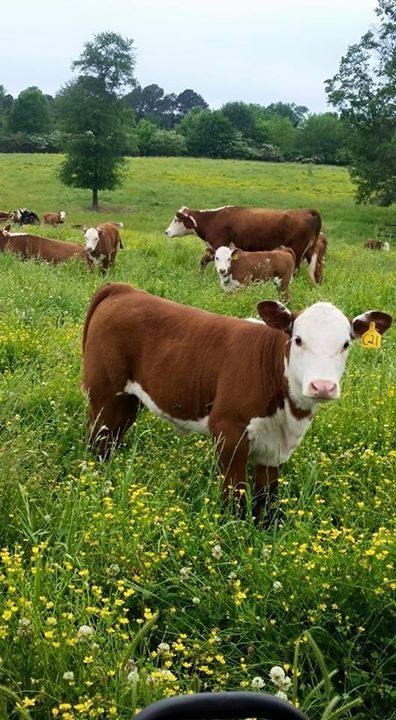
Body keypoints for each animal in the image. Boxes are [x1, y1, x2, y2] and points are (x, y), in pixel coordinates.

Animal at [82, 282, 392, 524]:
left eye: (346, 344)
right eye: (298, 339)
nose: (323, 386)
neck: (288, 415)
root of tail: (124, 289)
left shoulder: (274, 447)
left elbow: (267, 495)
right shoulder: (228, 429)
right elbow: (235, 492)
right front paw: (234, 532)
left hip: (128, 400)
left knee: (113, 437)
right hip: (103, 393)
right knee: (97, 440)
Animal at [164, 205, 322, 282]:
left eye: (177, 220)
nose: (167, 232)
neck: (212, 219)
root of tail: (306, 212)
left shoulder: (219, 245)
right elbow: (203, 261)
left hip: (296, 251)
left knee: (296, 271)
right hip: (309, 252)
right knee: (317, 270)